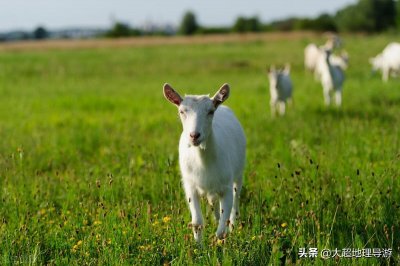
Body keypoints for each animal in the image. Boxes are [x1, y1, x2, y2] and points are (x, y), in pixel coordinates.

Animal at [163, 83, 247, 243]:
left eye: (210, 111)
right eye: (181, 111)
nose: (194, 135)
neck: (202, 162)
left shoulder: (226, 186)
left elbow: (221, 229)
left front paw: (219, 244)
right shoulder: (190, 186)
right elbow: (197, 222)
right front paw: (198, 246)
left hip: (238, 173)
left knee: (236, 198)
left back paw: (233, 226)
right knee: (213, 202)